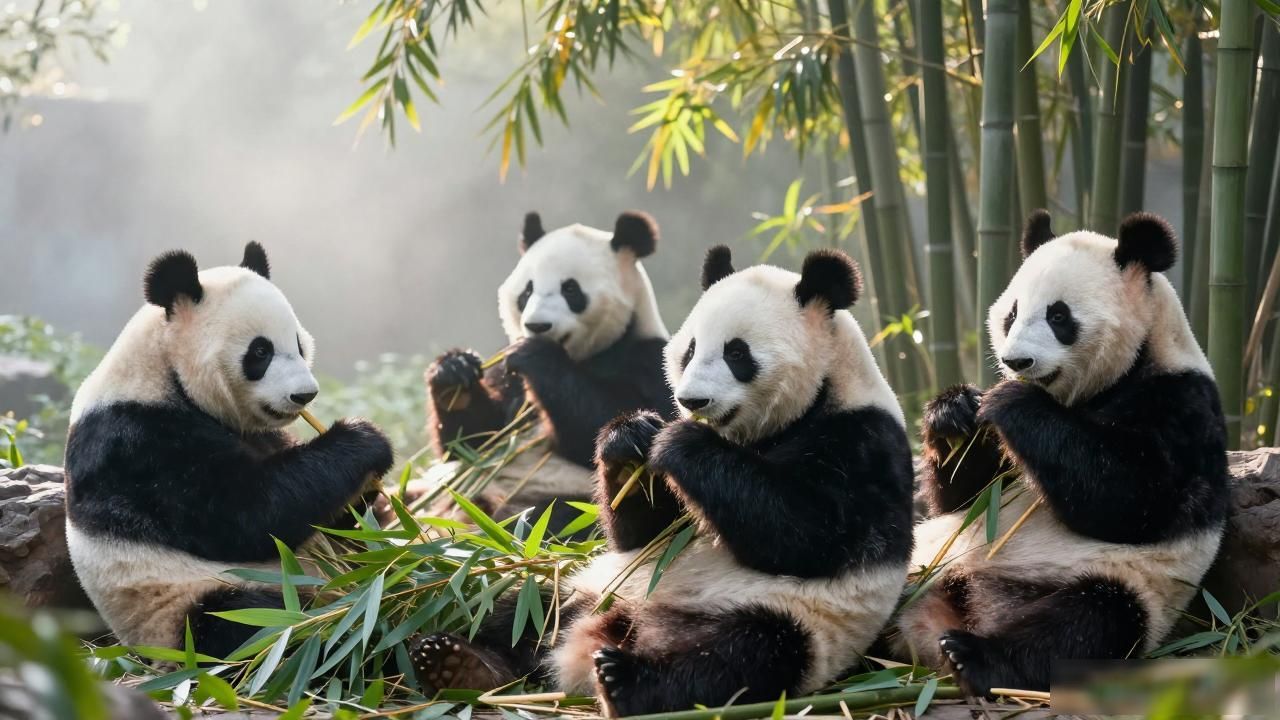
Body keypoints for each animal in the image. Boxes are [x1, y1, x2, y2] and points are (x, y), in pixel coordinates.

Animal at [64, 244, 394, 659]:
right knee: (248, 623)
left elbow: (326, 519)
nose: (304, 395)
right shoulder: (137, 444)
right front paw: (365, 440)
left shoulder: (261, 435)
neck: (162, 369)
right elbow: (246, 514)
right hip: (179, 608)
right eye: (260, 351)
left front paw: (372, 490)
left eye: (299, 345)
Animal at [409, 246, 915, 716]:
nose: (692, 401)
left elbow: (811, 534)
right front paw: (630, 439)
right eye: (689, 349)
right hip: (584, 585)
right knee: (517, 610)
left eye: (737, 353)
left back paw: (625, 683)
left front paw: (680, 441)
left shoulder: (863, 442)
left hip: (789, 621)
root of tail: (608, 631)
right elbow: (642, 532)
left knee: (737, 659)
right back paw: (459, 662)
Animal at [424, 211, 674, 519]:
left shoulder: (649, 359)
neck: (583, 355)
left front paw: (537, 355)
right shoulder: (504, 374)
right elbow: (473, 441)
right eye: (527, 291)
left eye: (571, 289)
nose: (537, 326)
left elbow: (618, 419)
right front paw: (453, 371)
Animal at [894, 210, 1229, 696]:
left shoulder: (1182, 407)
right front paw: (955, 411)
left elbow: (1132, 499)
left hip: (1121, 585)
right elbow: (967, 498)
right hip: (920, 561)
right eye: (1012, 314)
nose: (1016, 363)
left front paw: (1012, 401)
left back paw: (971, 655)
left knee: (1086, 623)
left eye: (1058, 316)